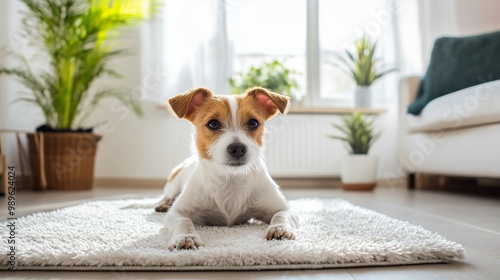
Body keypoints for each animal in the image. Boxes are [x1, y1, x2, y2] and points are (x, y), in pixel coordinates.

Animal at [154, 86, 296, 250]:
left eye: (253, 123)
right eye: (213, 124)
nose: (238, 148)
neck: (231, 178)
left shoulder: (284, 208)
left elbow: (280, 214)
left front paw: (280, 228)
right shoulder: (177, 212)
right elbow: (183, 220)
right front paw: (186, 236)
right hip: (173, 184)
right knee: (166, 197)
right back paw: (162, 205)